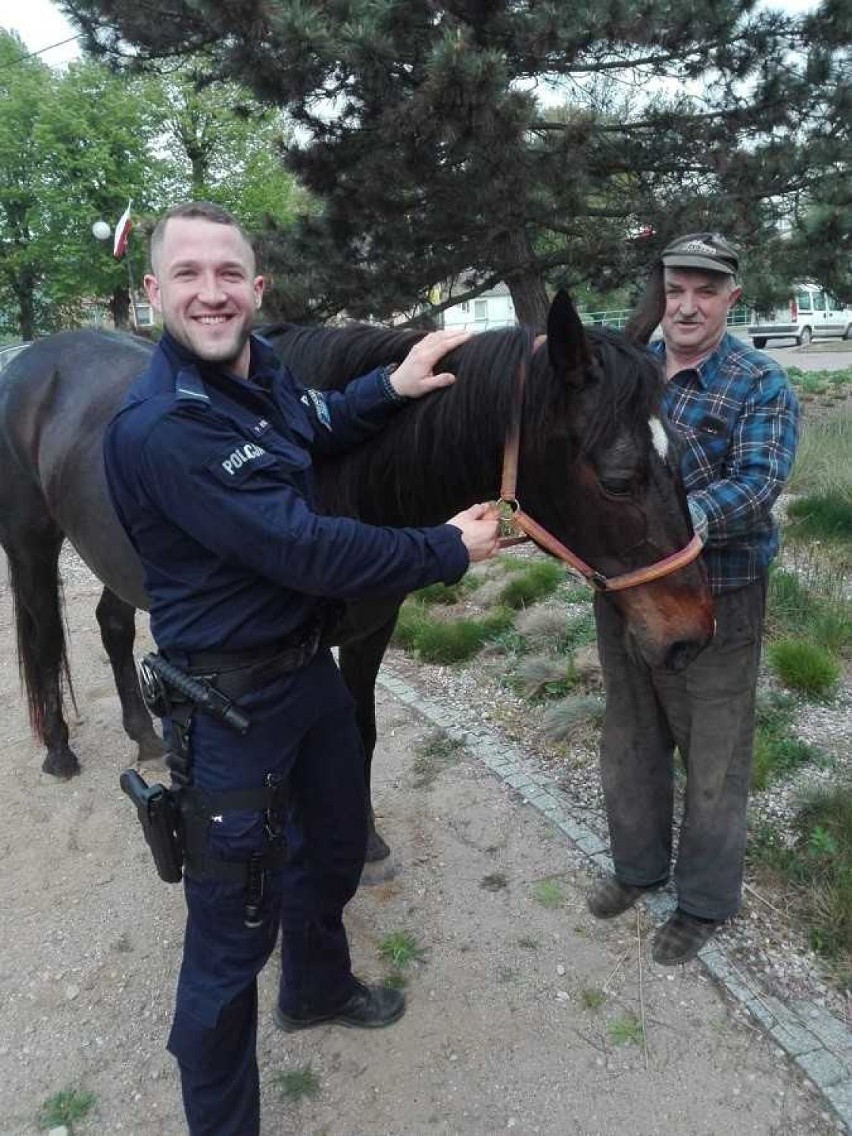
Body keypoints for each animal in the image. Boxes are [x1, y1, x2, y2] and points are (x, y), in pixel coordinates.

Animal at [1, 290, 713, 858]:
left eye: (681, 450)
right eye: (618, 480)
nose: (691, 636)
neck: (340, 479)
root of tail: (33, 359)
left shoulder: (372, 632)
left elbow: (359, 736)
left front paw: (365, 840)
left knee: (113, 626)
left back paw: (144, 734)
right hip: (31, 546)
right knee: (43, 633)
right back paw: (58, 749)